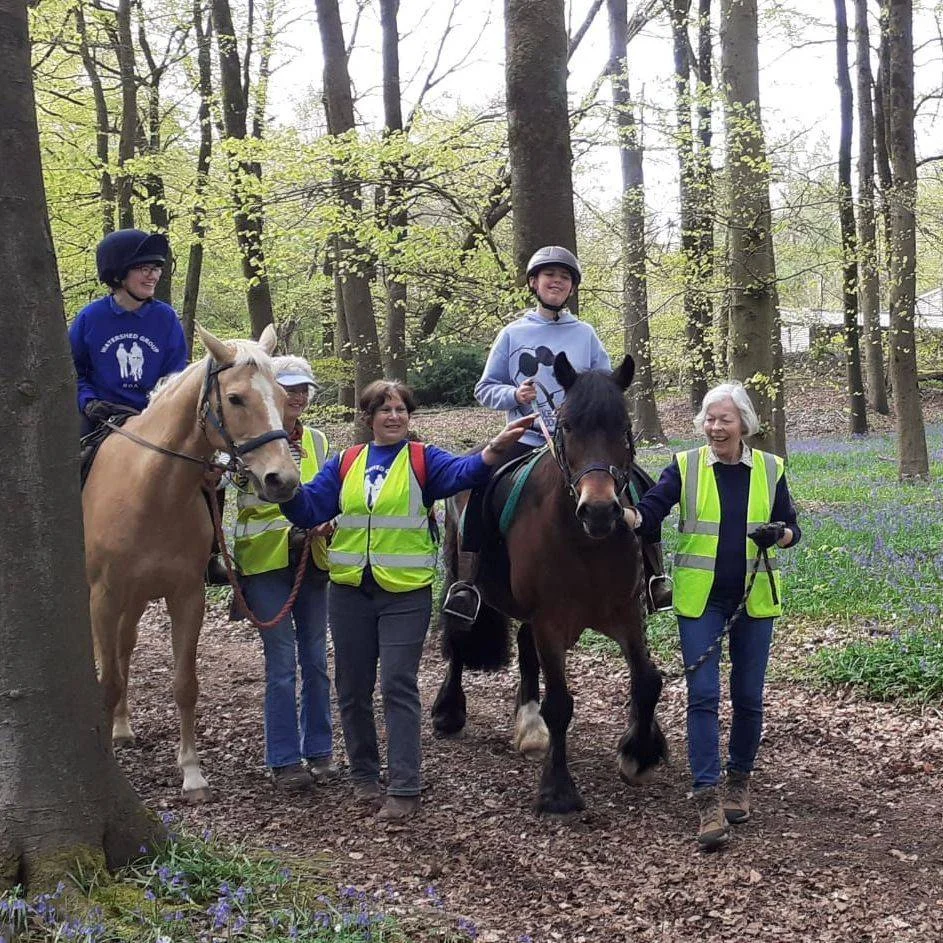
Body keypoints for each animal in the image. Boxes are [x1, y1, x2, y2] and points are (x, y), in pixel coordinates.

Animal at [84, 326, 300, 804]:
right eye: (236, 398)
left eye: (281, 395)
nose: (283, 480)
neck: (151, 491)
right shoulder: (103, 596)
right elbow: (106, 681)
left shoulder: (187, 595)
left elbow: (185, 684)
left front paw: (192, 772)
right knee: (110, 658)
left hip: (137, 599)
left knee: (125, 648)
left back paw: (123, 727)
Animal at [432, 350, 668, 816]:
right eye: (567, 426)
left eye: (624, 428)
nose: (600, 510)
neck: (586, 542)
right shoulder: (551, 621)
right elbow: (560, 703)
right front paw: (558, 790)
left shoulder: (627, 613)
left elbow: (647, 680)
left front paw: (640, 753)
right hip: (462, 578)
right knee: (460, 638)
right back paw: (449, 712)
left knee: (524, 649)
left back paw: (529, 726)